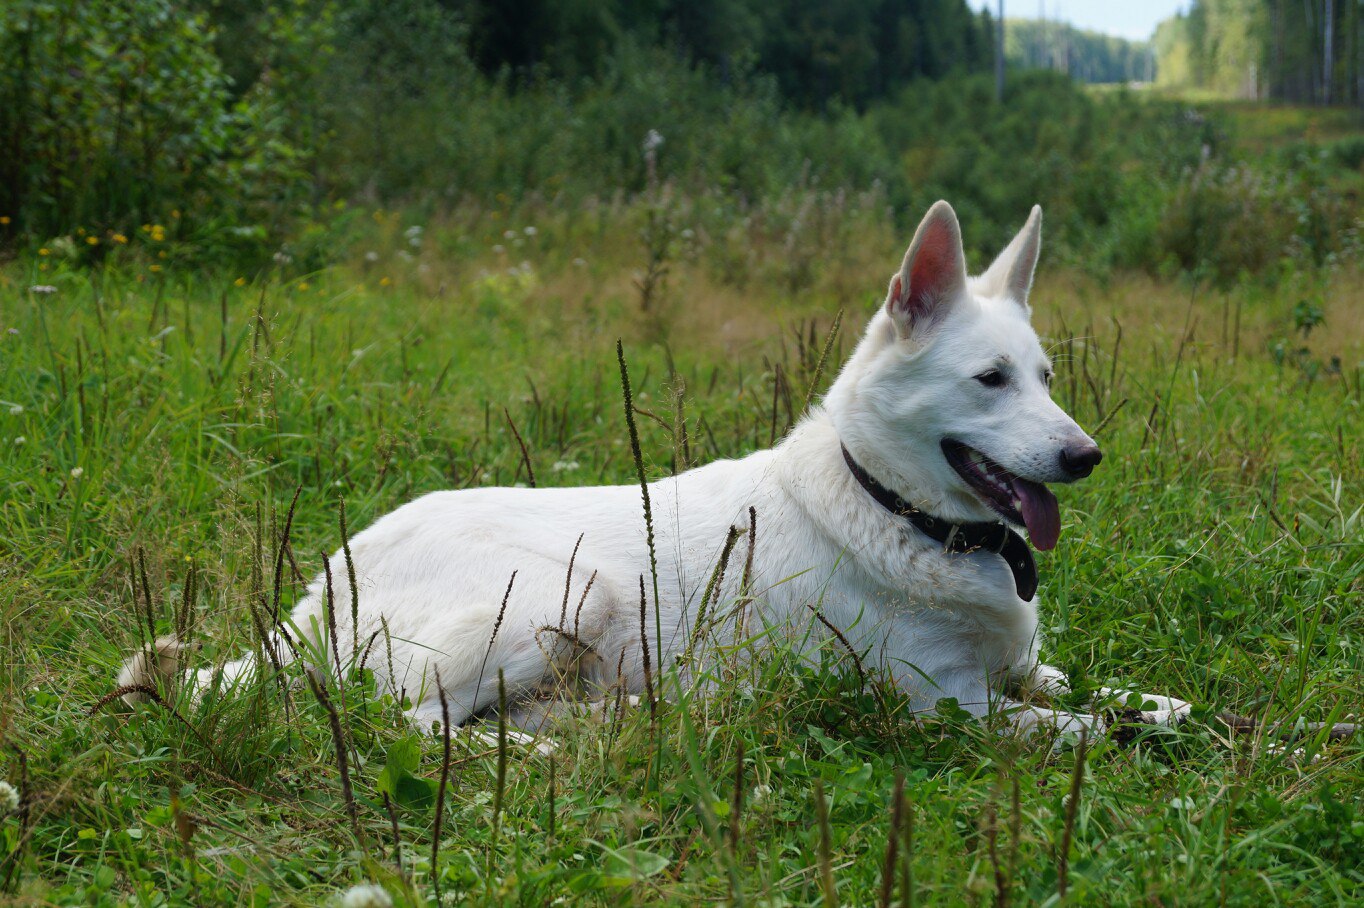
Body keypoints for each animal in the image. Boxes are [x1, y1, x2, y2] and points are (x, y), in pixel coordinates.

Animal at [122, 200, 1189, 736]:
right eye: (989, 380)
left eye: (1046, 379)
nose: (1086, 455)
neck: (894, 509)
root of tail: (314, 595)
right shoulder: (949, 713)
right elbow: (1081, 729)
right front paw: (1136, 734)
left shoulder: (1020, 670)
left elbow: (1105, 691)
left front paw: (1173, 705)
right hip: (564, 593)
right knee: (418, 723)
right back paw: (542, 750)